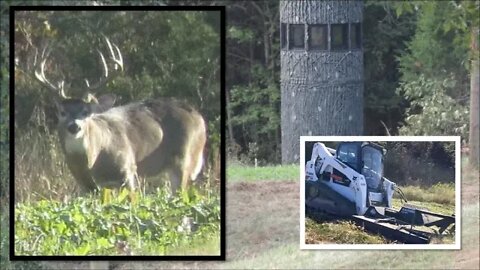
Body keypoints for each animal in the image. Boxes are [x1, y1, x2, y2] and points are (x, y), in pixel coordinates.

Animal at [33, 38, 206, 194]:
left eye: (86, 112)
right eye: (62, 112)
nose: (74, 126)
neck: (92, 161)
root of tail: (200, 118)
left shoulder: (128, 171)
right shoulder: (86, 186)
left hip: (184, 160)